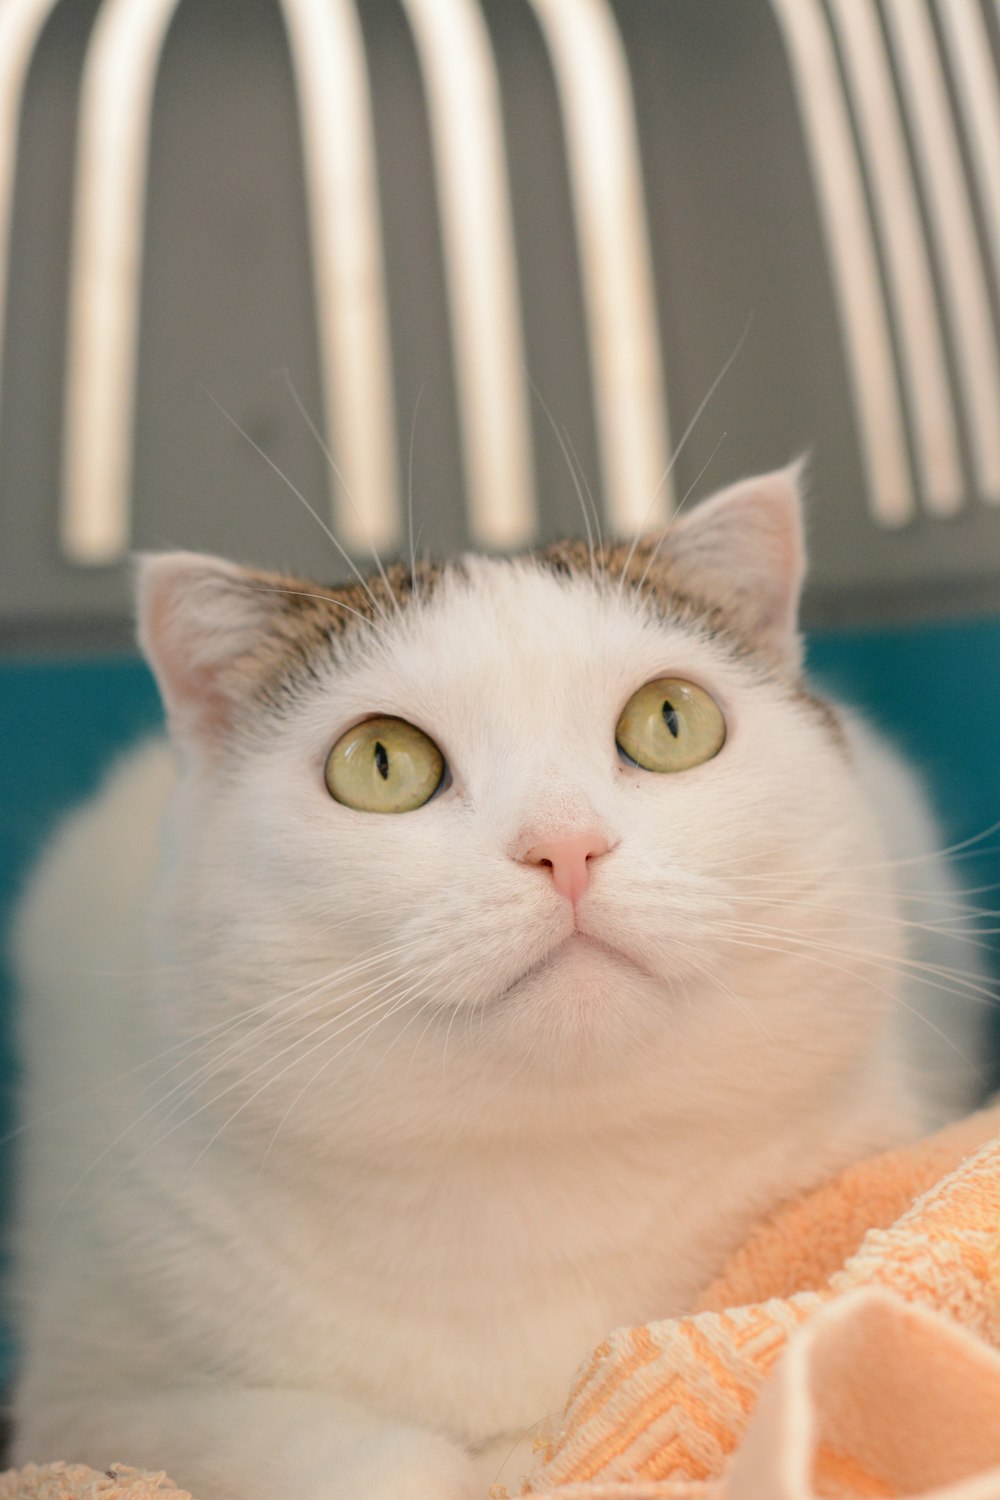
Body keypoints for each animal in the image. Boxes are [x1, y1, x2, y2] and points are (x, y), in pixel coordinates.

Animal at [11, 462, 989, 1494]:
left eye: (672, 720)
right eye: (382, 762)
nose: (566, 846)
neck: (541, 1181)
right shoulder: (89, 1407)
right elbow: (331, 1448)